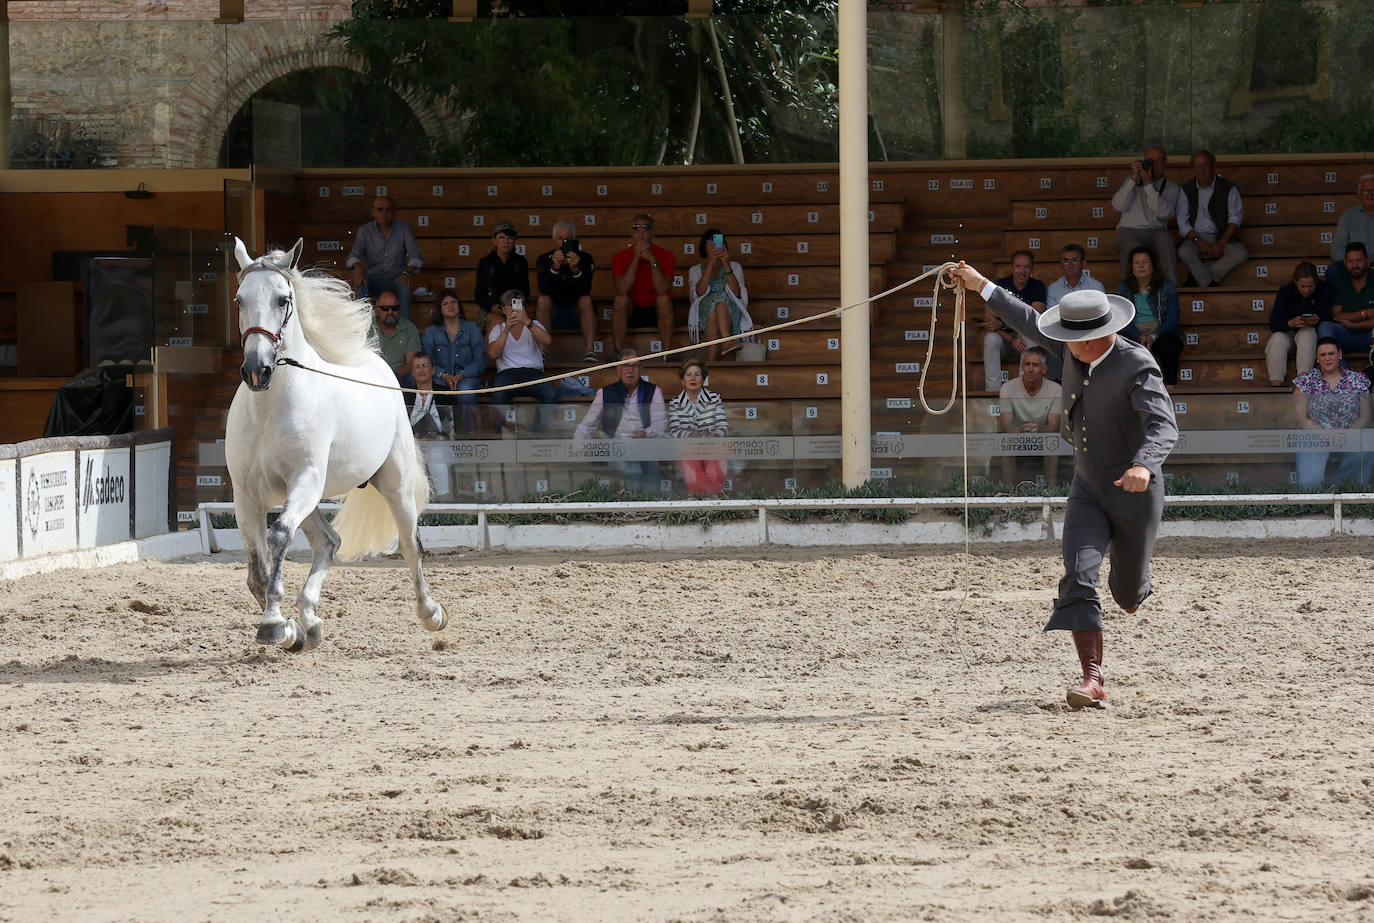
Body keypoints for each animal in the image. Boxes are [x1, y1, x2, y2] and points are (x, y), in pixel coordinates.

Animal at [226, 240, 445, 656]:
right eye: (239, 299)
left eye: (283, 300)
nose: (256, 370)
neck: (269, 409)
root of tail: (377, 364)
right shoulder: (247, 496)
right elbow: (256, 573)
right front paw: (292, 628)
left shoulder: (306, 479)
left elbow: (279, 537)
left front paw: (274, 624)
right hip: (306, 498)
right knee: (329, 543)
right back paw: (310, 623)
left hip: (391, 484)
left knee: (410, 545)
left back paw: (432, 614)